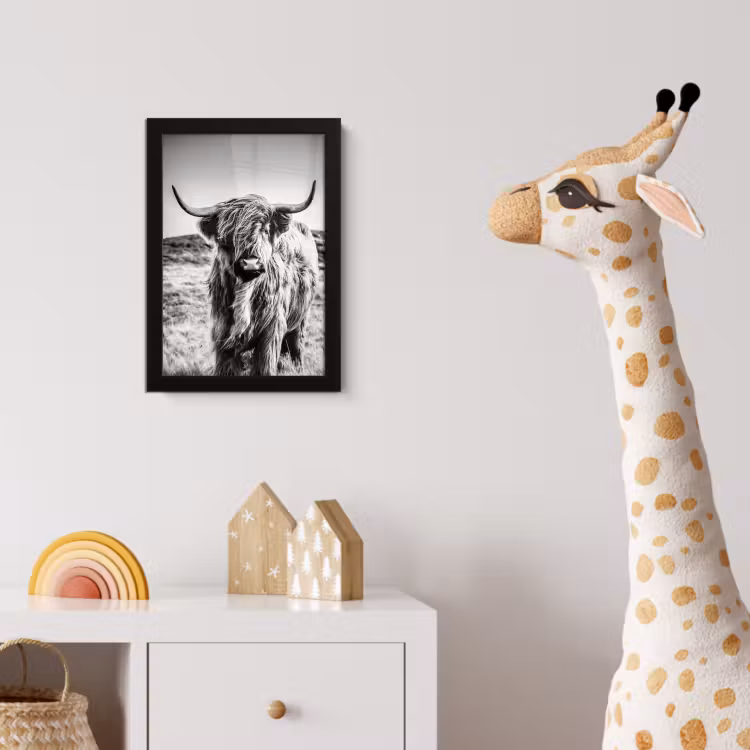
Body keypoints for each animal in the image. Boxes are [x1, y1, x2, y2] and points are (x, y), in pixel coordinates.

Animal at [172, 182, 319, 376]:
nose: (250, 264)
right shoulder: (222, 333)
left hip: (300, 320)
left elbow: (265, 367)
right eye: (225, 237)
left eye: (265, 230)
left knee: (296, 349)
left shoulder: (271, 332)